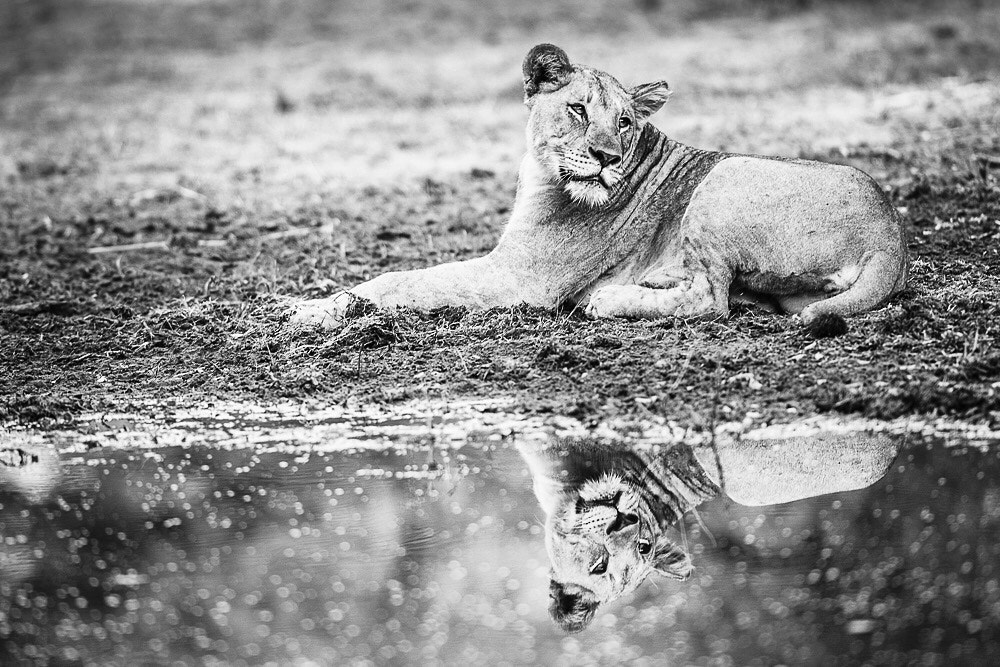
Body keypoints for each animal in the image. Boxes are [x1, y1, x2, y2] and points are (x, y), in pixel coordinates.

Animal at [290, 43, 908, 333]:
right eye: (579, 110)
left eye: (626, 122)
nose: (608, 159)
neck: (540, 173)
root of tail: (892, 234)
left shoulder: (520, 277)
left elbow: (405, 280)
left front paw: (313, 311)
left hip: (723, 178)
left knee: (711, 300)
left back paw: (609, 299)